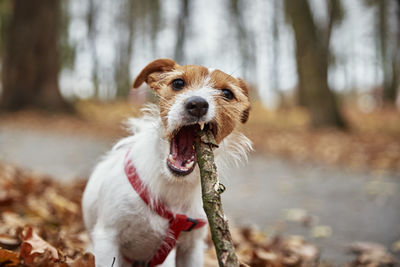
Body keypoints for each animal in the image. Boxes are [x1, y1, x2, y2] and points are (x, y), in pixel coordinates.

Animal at [82, 59, 252, 267]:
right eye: (178, 83)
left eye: (227, 93)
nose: (197, 104)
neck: (173, 186)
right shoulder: (107, 237)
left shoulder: (191, 248)